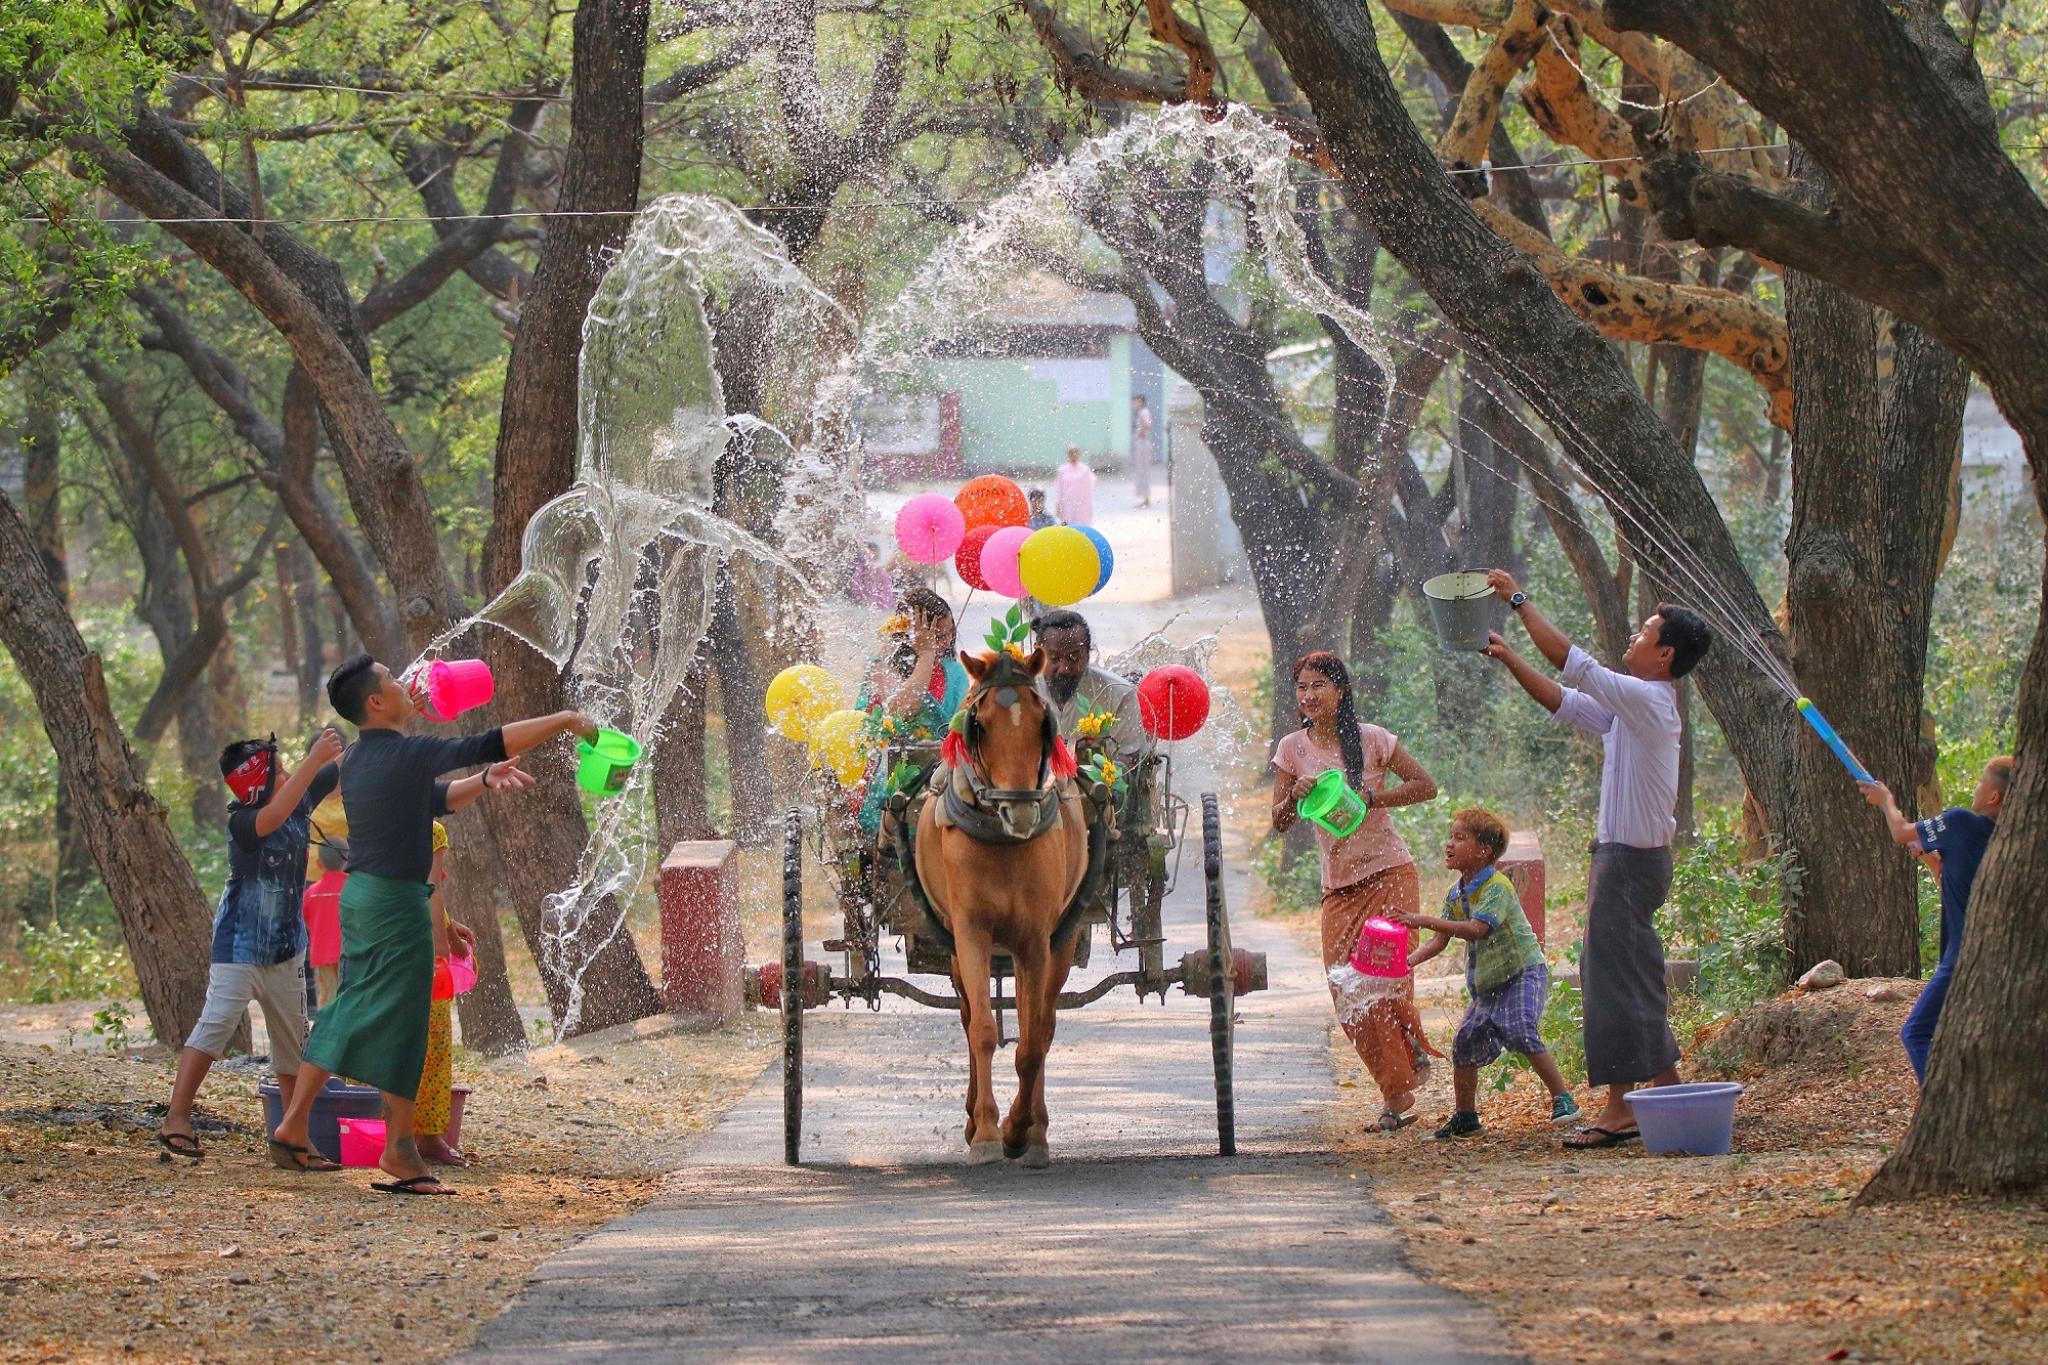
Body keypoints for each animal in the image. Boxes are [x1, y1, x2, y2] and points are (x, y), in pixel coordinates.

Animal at [909, 646, 1105, 1170]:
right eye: (979, 725)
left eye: (1043, 721)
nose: (1019, 809)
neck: (1001, 839)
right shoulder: (969, 932)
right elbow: (980, 1028)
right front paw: (986, 1133)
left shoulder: (1036, 939)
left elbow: (1032, 1040)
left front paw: (1022, 1131)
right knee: (970, 1017)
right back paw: (976, 1116)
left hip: (1058, 941)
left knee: (1043, 1024)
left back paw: (1034, 1124)